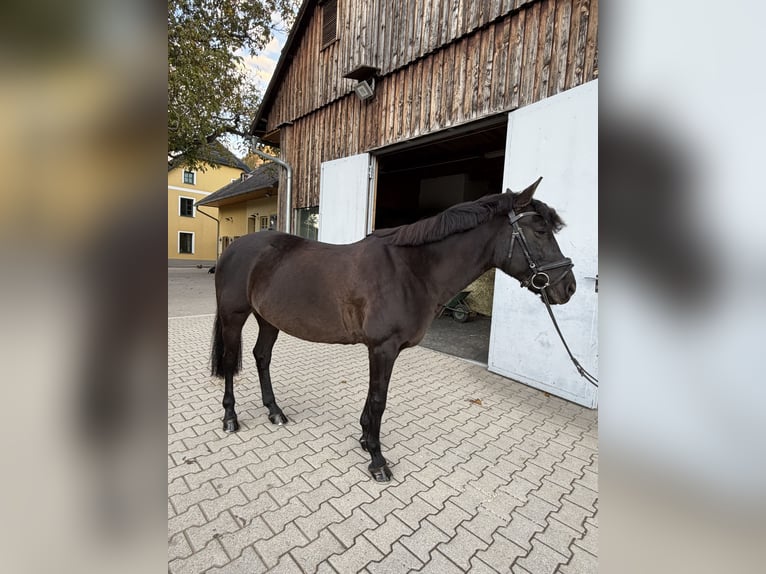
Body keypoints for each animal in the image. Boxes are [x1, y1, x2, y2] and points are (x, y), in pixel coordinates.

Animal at [210, 177, 576, 481]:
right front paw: (377, 460)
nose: (568, 287)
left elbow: (374, 398)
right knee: (229, 362)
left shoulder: (386, 350)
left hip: (268, 319)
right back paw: (230, 419)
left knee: (261, 357)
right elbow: (378, 400)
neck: (411, 270)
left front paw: (364, 438)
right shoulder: (383, 347)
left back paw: (275, 412)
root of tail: (233, 248)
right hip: (234, 316)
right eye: (540, 231)